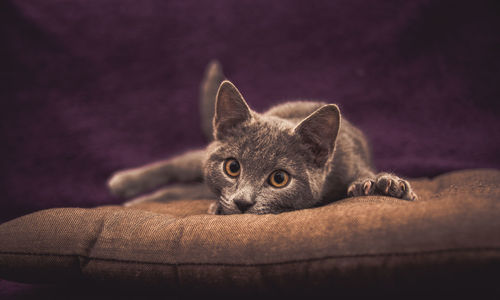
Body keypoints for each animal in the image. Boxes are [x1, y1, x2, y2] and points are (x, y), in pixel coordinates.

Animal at [107, 61, 416, 214]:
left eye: (279, 179)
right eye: (232, 167)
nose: (243, 203)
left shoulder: (352, 160)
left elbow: (366, 176)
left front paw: (383, 185)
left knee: (183, 190)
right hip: (196, 160)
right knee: (180, 164)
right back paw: (124, 183)